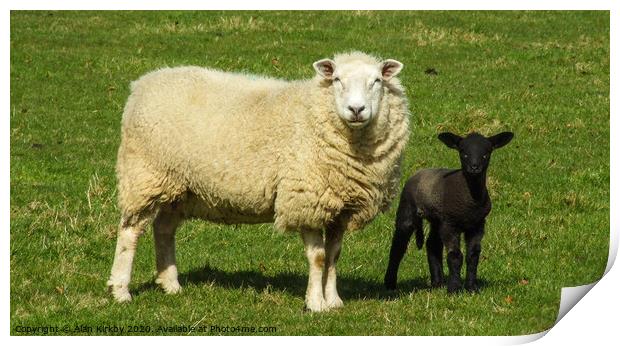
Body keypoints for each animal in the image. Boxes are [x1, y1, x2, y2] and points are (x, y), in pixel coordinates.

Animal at [107, 52, 412, 314]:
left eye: (377, 81)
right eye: (337, 80)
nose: (356, 109)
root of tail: (143, 84)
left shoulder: (340, 207)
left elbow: (334, 254)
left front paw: (334, 300)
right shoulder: (305, 200)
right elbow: (318, 257)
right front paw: (316, 304)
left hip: (179, 187)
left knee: (163, 229)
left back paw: (171, 284)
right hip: (145, 176)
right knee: (130, 232)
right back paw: (121, 290)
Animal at [382, 131, 512, 294]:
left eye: (486, 153)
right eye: (463, 152)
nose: (474, 168)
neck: (470, 199)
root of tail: (419, 172)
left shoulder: (477, 225)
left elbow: (473, 256)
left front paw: (471, 288)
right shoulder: (450, 224)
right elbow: (455, 256)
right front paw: (454, 288)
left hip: (437, 219)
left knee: (432, 245)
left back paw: (438, 282)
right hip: (408, 208)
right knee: (398, 247)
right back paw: (390, 284)